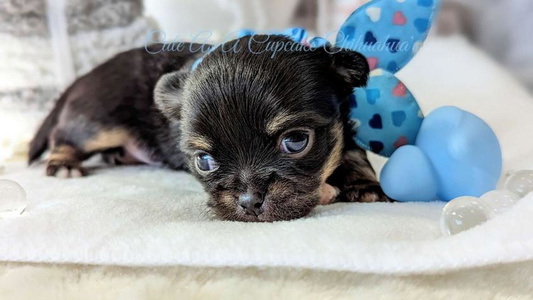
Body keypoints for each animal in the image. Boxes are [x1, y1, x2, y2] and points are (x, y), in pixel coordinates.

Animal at [31, 35, 388, 223]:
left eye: (297, 141)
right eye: (204, 161)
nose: (250, 201)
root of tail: (84, 77)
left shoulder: (343, 128)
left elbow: (354, 155)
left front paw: (365, 186)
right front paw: (330, 190)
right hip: (98, 124)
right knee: (64, 137)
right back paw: (63, 164)